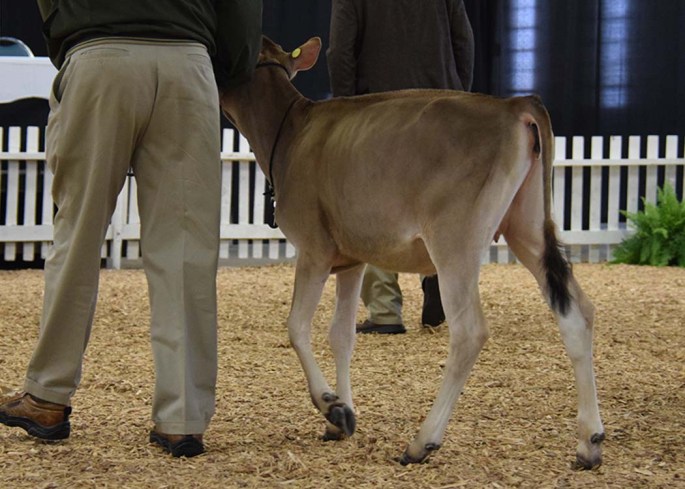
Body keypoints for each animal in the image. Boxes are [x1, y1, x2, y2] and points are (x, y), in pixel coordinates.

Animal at [219, 36, 605, 469]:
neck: (290, 129)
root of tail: (514, 104)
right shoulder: (351, 258)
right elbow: (341, 335)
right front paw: (342, 417)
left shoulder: (314, 249)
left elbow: (297, 326)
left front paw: (330, 405)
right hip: (528, 228)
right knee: (577, 312)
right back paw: (589, 442)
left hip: (455, 242)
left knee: (469, 331)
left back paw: (422, 442)